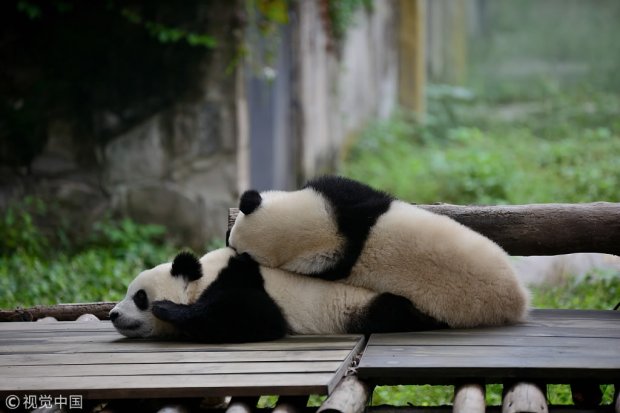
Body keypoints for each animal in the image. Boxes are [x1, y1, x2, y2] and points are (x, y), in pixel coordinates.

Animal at [110, 246, 446, 340]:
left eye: (139, 297)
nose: (113, 314)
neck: (201, 279)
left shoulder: (239, 280)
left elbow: (257, 318)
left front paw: (169, 310)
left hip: (358, 305)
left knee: (391, 312)